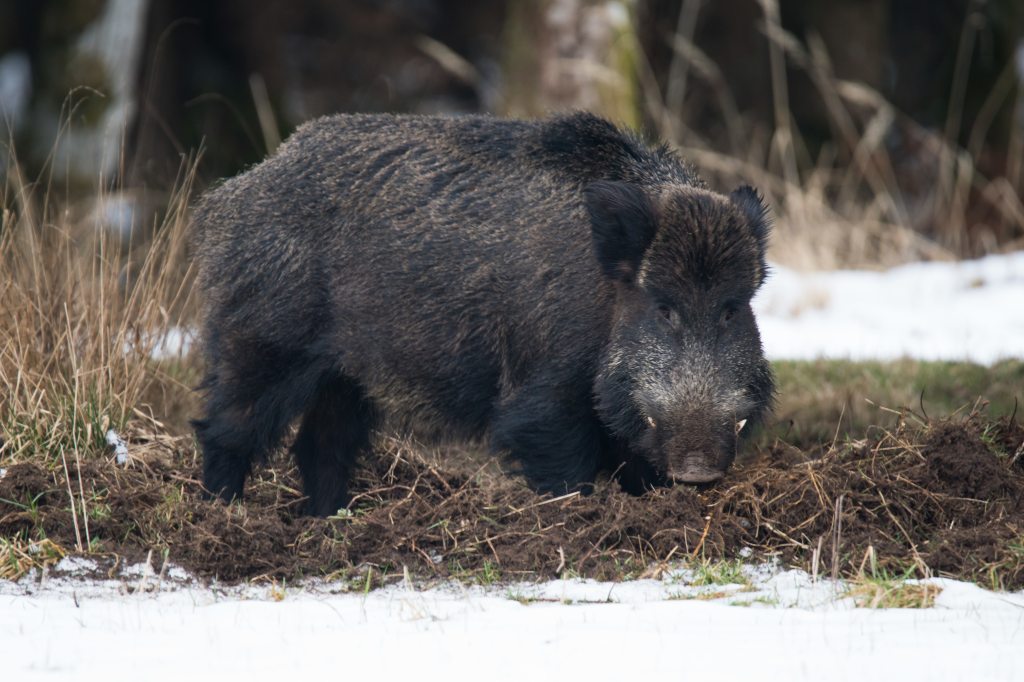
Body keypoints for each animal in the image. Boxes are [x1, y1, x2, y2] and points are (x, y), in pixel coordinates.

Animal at [191, 112, 775, 516]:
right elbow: (562, 462)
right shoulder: (545, 392)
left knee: (322, 445)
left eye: (733, 307)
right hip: (262, 338)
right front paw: (575, 519)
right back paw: (223, 513)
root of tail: (230, 196)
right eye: (663, 306)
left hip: (348, 375)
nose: (699, 469)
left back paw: (332, 521)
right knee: (227, 426)